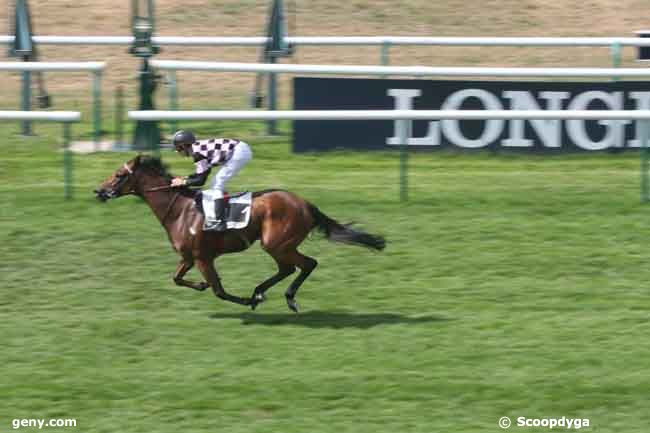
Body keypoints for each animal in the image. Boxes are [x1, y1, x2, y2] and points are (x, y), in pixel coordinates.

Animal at [93, 155, 382, 310]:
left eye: (118, 175)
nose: (99, 191)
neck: (180, 210)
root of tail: (306, 204)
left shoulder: (203, 258)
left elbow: (219, 290)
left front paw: (245, 301)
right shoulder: (188, 257)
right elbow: (176, 278)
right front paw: (200, 284)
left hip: (276, 243)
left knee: (306, 264)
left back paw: (283, 297)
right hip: (279, 246)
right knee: (290, 268)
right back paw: (262, 291)